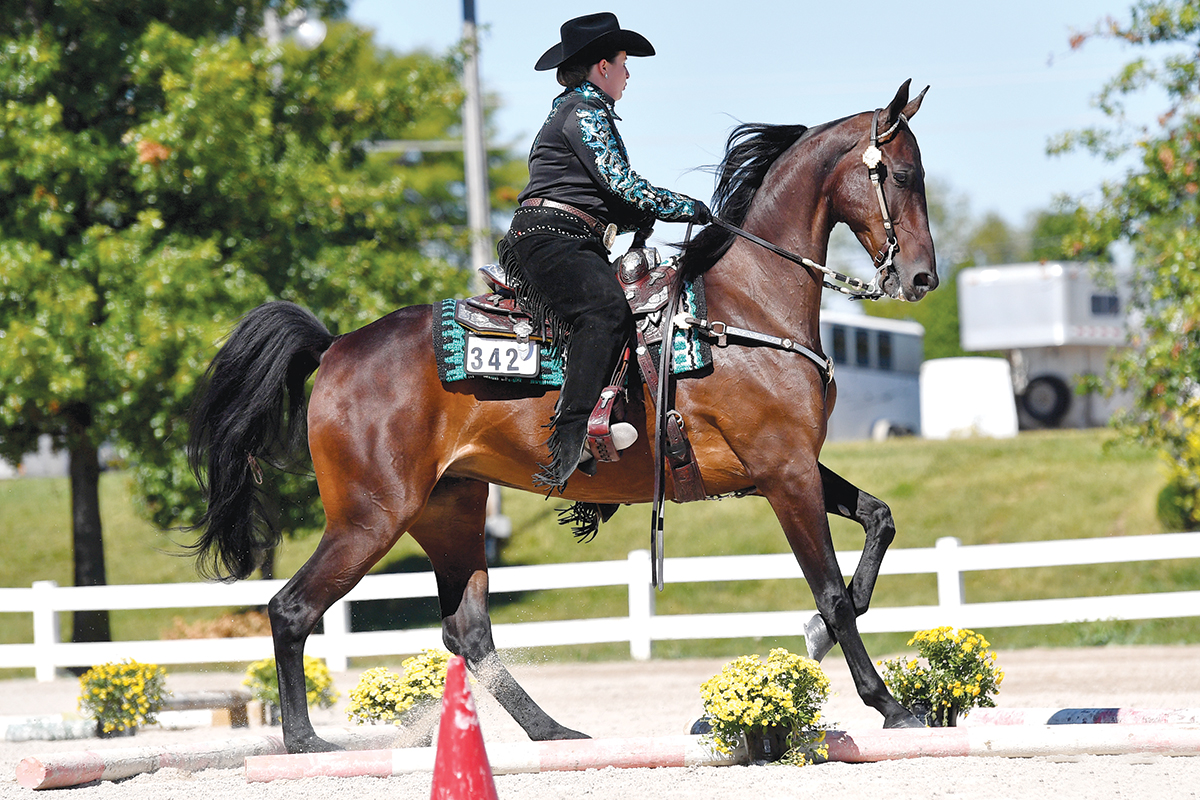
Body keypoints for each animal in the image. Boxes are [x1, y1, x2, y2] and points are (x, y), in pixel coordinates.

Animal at [187, 77, 936, 753]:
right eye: (902, 173)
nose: (923, 277)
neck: (743, 306)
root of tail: (337, 345)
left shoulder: (789, 465)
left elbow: (879, 522)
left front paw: (823, 640)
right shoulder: (784, 472)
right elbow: (833, 592)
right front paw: (890, 705)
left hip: (450, 511)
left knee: (468, 632)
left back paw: (551, 731)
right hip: (370, 516)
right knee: (292, 609)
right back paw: (305, 741)